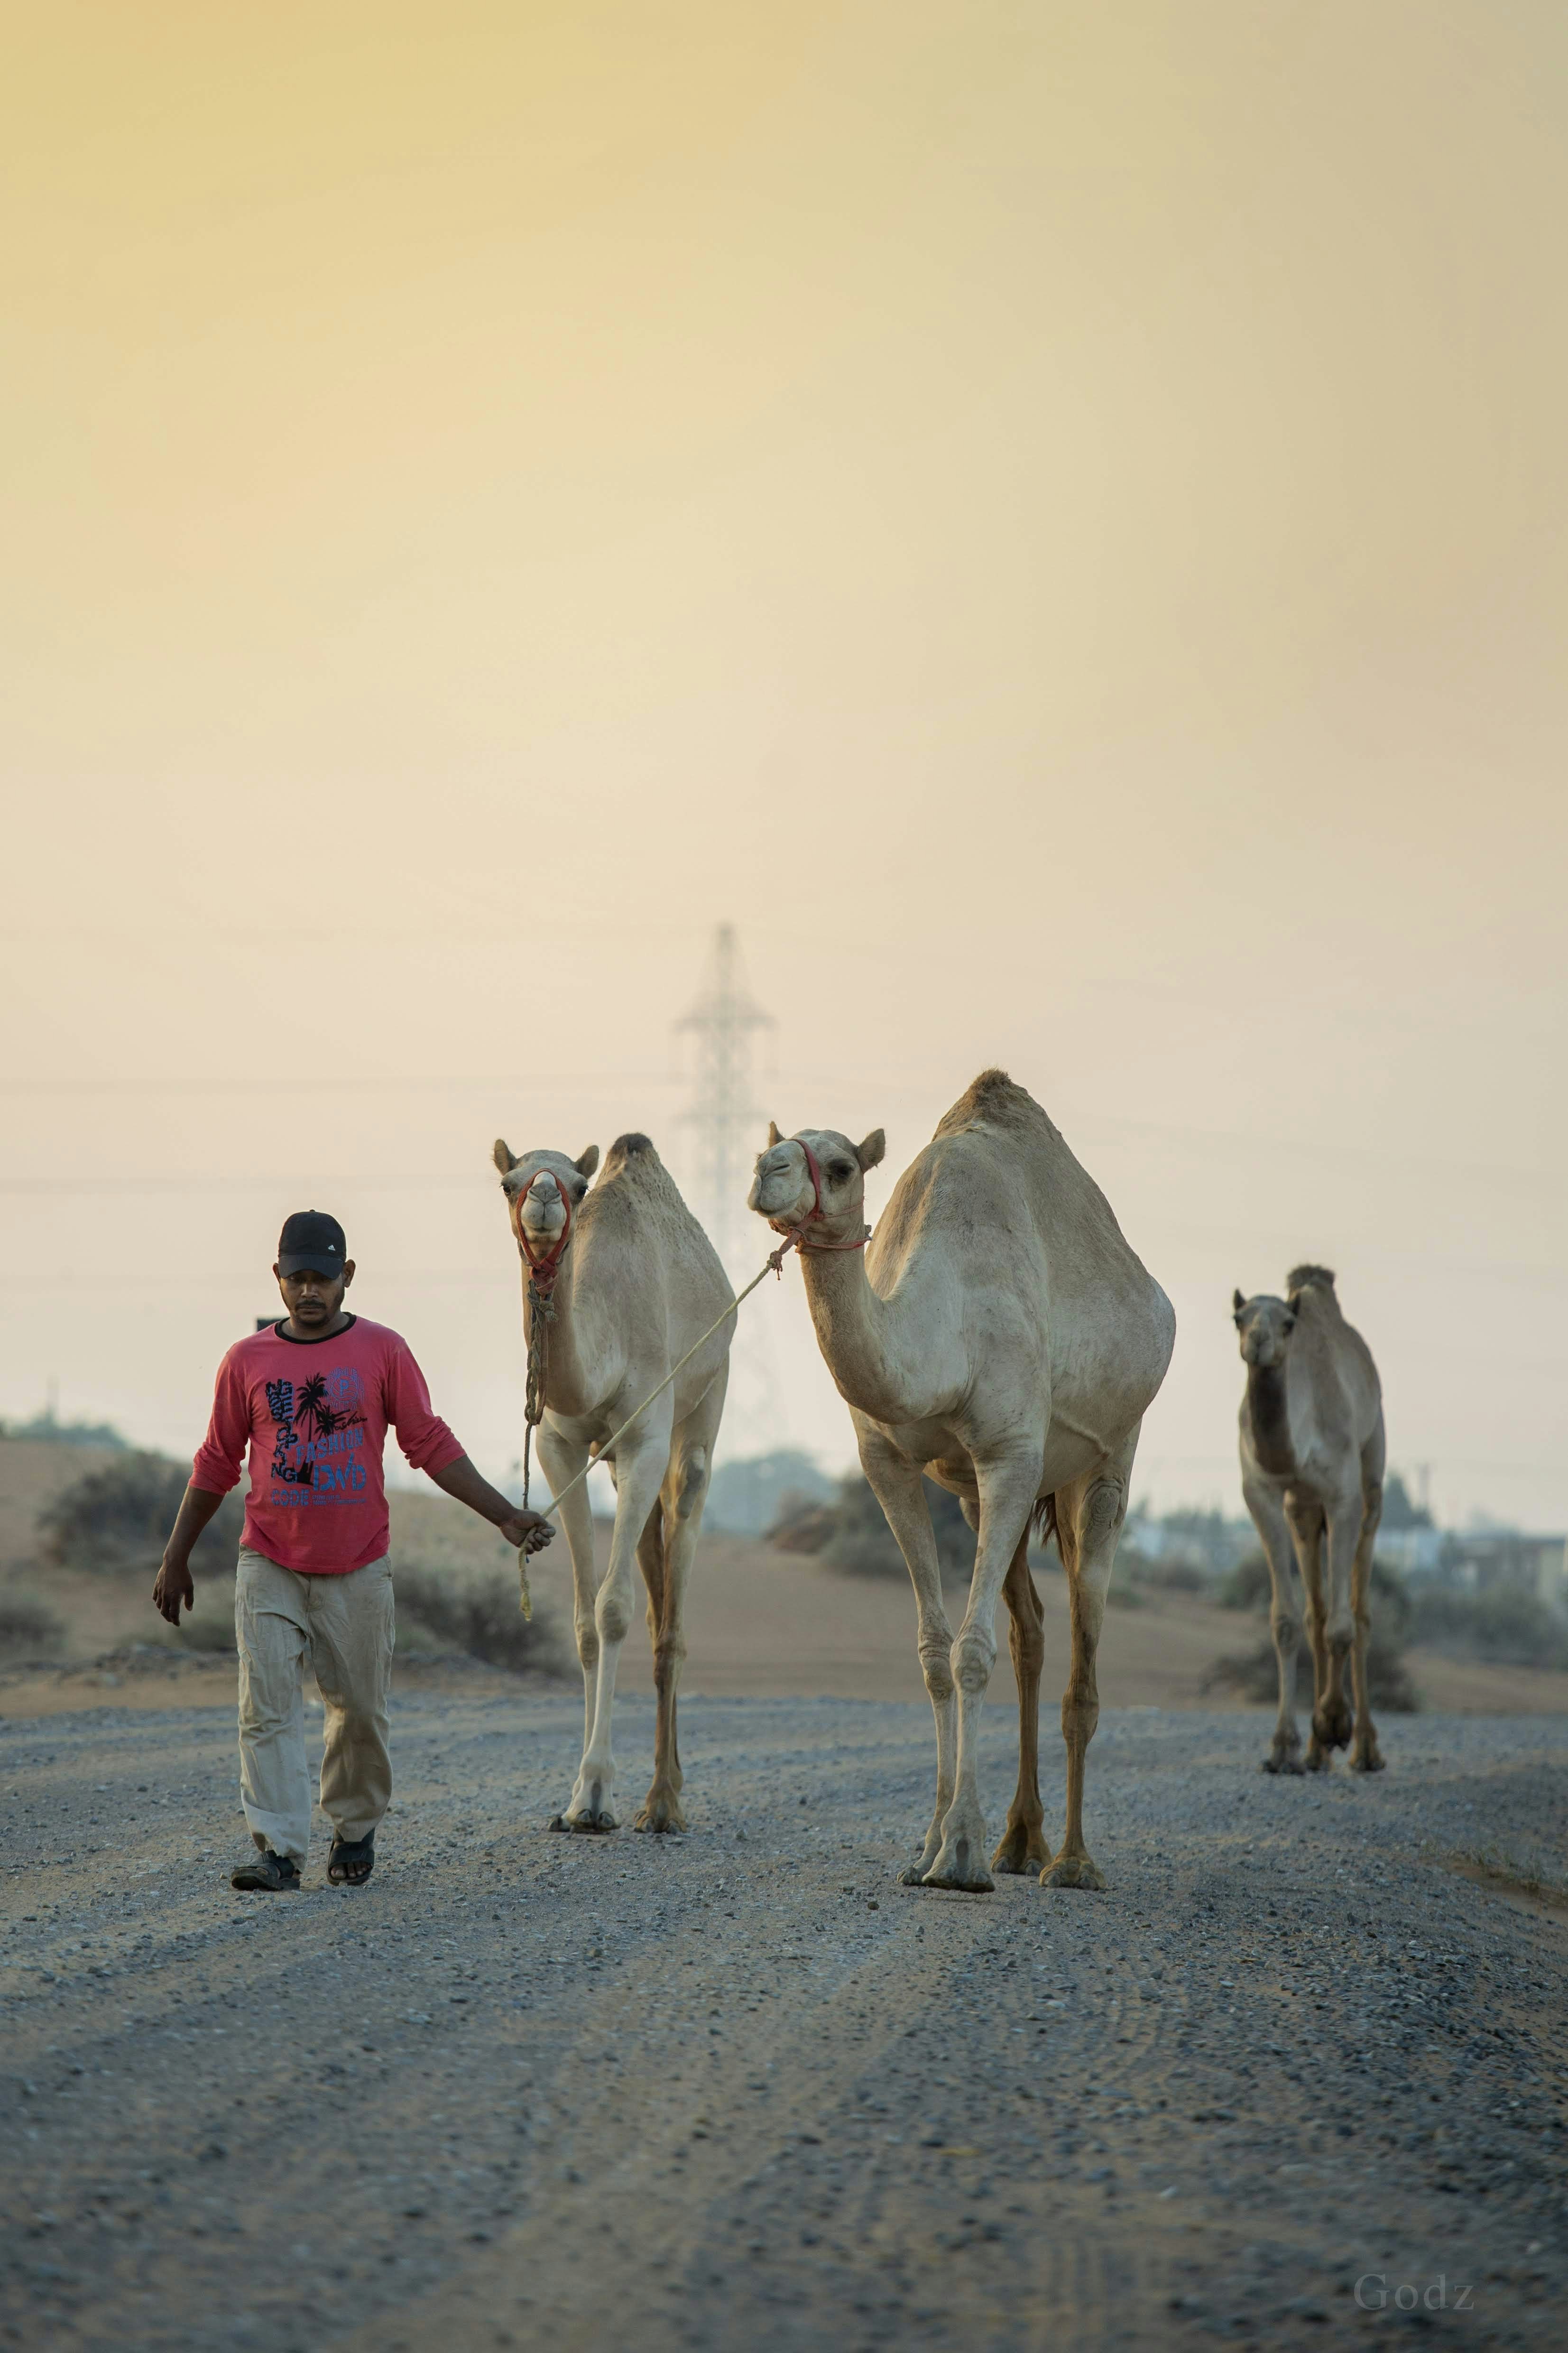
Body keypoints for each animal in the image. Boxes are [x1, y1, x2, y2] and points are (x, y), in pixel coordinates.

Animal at [493, 1132, 734, 1832]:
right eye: (508, 1181)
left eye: (578, 1186)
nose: (544, 1199)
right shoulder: (560, 1446)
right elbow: (581, 1622)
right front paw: (575, 1796)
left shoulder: (645, 1437)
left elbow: (614, 1609)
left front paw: (598, 1792)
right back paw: (661, 1791)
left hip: (708, 1393)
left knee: (673, 1600)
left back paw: (664, 1803)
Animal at [747, 1070, 1175, 1893]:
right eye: (771, 1144)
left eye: (840, 1164)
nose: (764, 1173)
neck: (943, 1339)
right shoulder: (888, 1463)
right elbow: (933, 1654)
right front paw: (927, 1848)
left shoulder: (1011, 1452)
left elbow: (970, 1653)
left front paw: (963, 1855)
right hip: (983, 1500)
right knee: (1030, 1632)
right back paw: (1021, 1841)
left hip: (1110, 1453)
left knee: (1082, 1640)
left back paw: (1071, 1861)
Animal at [1233, 1266, 1386, 1775]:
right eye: (1238, 1318)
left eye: (1287, 1324)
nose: (1258, 1342)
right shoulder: (1262, 1493)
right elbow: (1286, 1621)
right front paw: (1283, 1747)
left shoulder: (1343, 1496)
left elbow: (1342, 1626)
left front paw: (1335, 1720)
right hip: (1302, 1510)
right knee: (1315, 1611)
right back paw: (1316, 1753)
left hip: (1372, 1475)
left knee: (1358, 1612)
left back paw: (1364, 1748)